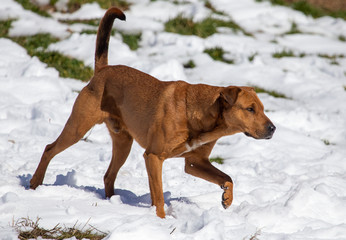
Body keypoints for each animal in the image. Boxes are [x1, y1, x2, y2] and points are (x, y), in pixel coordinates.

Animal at [31, 7, 278, 218]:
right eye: (250, 109)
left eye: (263, 109)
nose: (273, 129)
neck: (200, 115)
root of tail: (103, 70)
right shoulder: (153, 157)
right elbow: (158, 197)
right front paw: (161, 220)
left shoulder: (194, 162)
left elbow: (228, 177)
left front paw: (227, 198)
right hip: (78, 127)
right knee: (49, 149)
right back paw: (34, 184)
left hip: (123, 142)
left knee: (109, 175)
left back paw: (112, 203)